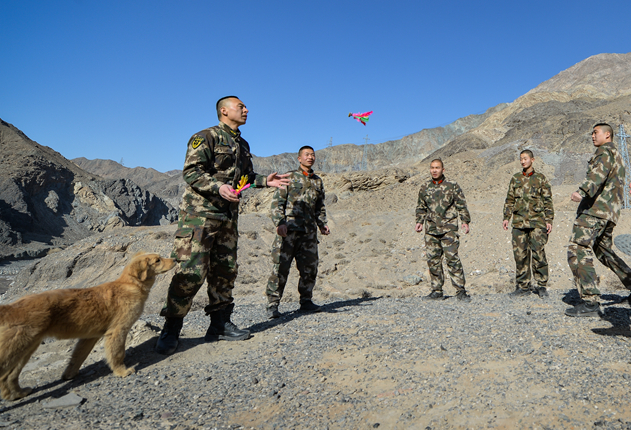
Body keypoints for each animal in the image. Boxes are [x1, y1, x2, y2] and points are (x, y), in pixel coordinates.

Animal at [0, 252, 174, 400]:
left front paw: (69, 375)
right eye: (157, 260)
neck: (131, 284)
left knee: (9, 375)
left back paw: (17, 394)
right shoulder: (118, 330)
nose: (175, 259)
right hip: (17, 346)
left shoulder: (90, 336)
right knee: (5, 373)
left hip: (27, 347)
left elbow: (78, 356)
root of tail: (9, 307)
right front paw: (122, 371)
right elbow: (117, 353)